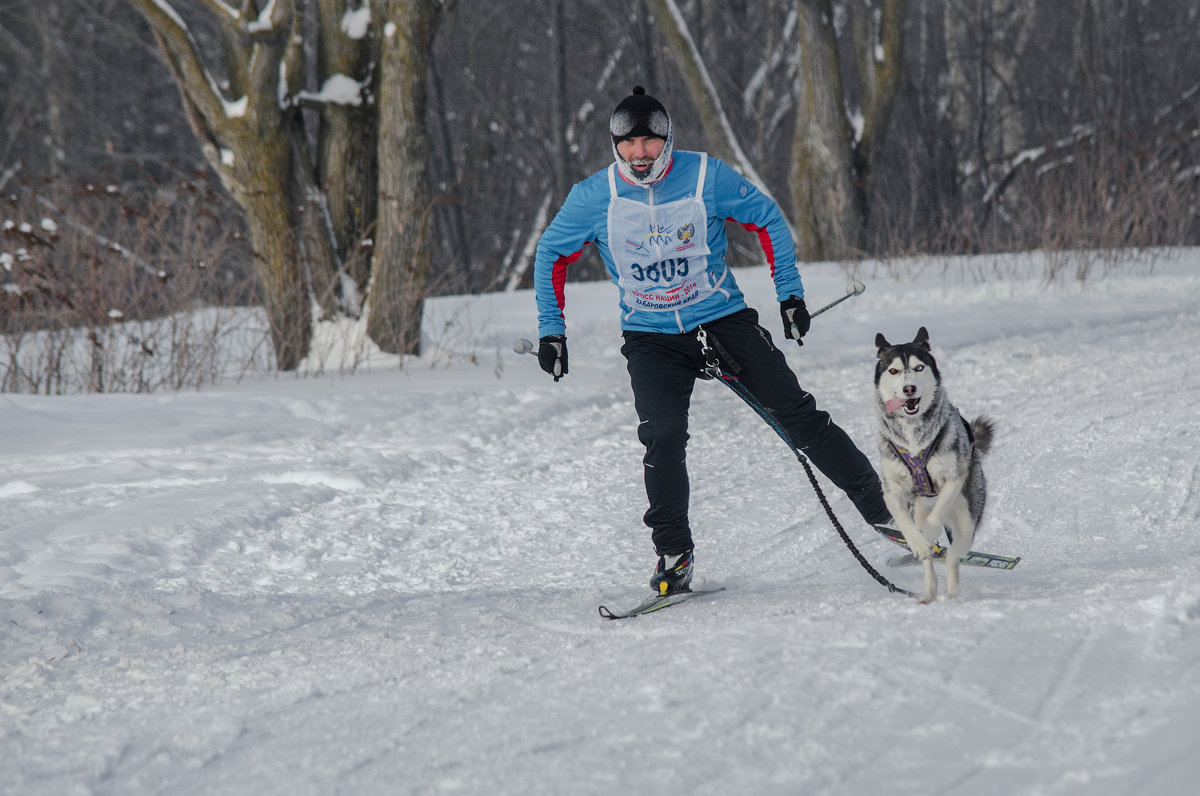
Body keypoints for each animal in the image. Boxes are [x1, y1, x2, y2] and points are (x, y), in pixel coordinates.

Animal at [873, 328, 993, 605]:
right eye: (893, 370)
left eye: (919, 367)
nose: (909, 388)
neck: (913, 438)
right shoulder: (891, 490)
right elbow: (903, 520)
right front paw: (917, 541)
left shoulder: (954, 477)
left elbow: (937, 515)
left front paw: (927, 533)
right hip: (920, 508)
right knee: (931, 563)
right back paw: (928, 592)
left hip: (966, 522)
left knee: (953, 557)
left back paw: (953, 593)